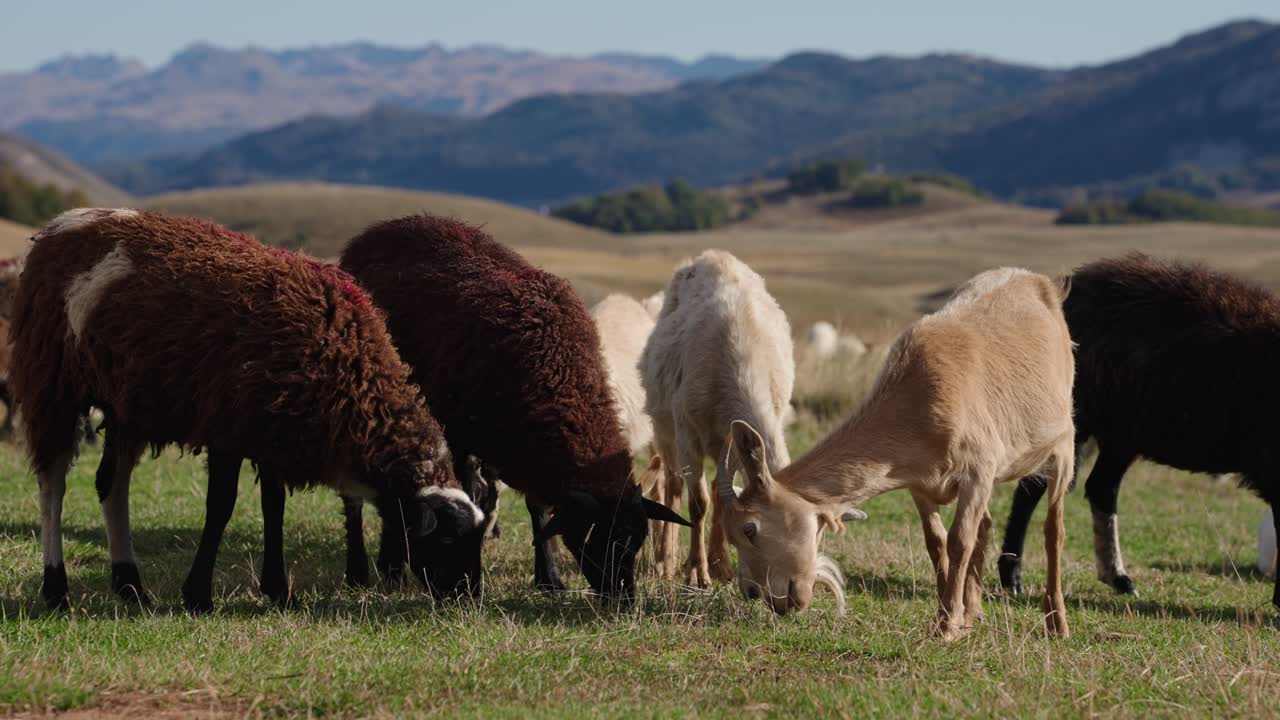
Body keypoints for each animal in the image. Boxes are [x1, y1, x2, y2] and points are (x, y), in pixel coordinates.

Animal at [13, 208, 484, 612]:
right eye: (446, 540)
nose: (468, 596)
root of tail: (62, 224)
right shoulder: (228, 427)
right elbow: (221, 506)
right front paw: (198, 595)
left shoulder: (272, 431)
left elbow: (273, 508)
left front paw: (278, 590)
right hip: (53, 381)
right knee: (53, 485)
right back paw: (56, 589)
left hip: (126, 405)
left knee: (111, 484)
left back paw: (131, 587)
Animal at [338, 214, 689, 601]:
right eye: (597, 540)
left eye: (637, 540)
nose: (623, 599)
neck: (556, 366)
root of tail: (383, 227)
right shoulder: (458, 438)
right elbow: (468, 498)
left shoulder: (528, 447)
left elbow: (536, 508)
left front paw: (549, 578)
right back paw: (365, 570)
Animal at [640, 250, 795, 587]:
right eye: (758, 532)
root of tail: (711, 255)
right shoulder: (687, 434)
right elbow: (697, 503)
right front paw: (697, 573)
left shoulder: (737, 439)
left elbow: (723, 497)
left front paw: (716, 566)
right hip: (665, 428)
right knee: (671, 486)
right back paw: (666, 561)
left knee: (716, 488)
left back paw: (719, 563)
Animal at [719, 268, 1075, 640]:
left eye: (749, 528)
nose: (757, 594)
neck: (917, 398)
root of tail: (1043, 284)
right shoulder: (921, 483)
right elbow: (936, 542)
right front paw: (949, 616)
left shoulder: (978, 469)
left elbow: (959, 540)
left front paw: (946, 626)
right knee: (987, 524)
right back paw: (972, 612)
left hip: (1063, 444)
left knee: (1054, 531)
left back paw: (1056, 622)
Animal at [999, 254, 1280, 612]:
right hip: (1075, 416)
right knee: (1034, 488)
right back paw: (1012, 577)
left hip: (1125, 432)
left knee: (1101, 488)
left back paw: (1118, 578)